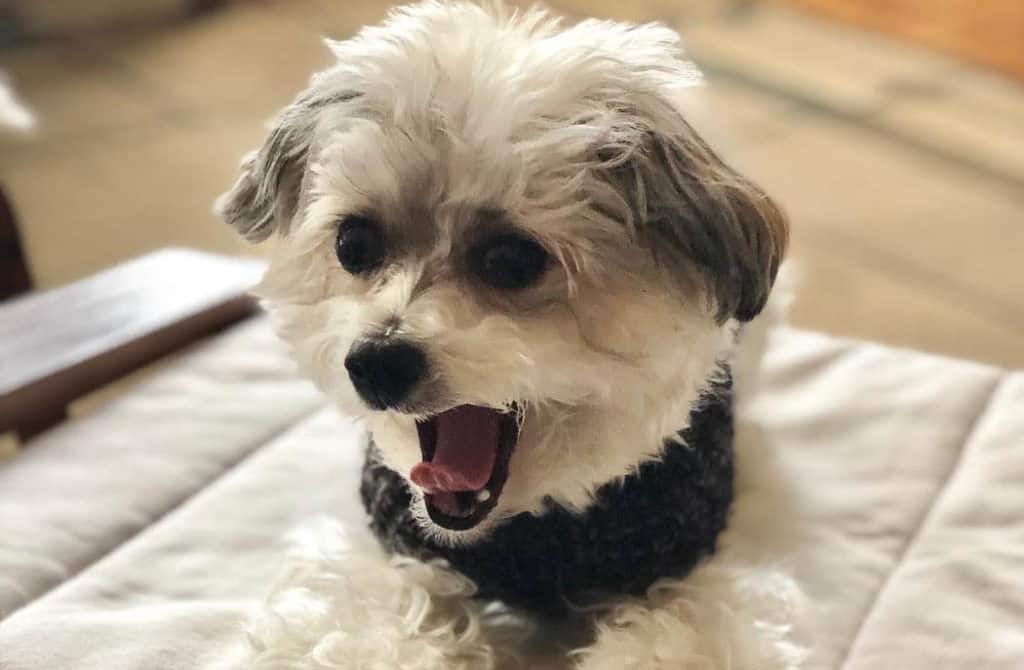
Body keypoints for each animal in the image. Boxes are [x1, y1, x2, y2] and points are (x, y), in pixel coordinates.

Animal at [218, 2, 806, 667]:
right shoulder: (383, 567)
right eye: (354, 243)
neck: (527, 528)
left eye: (512, 260)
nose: (376, 363)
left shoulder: (688, 587)